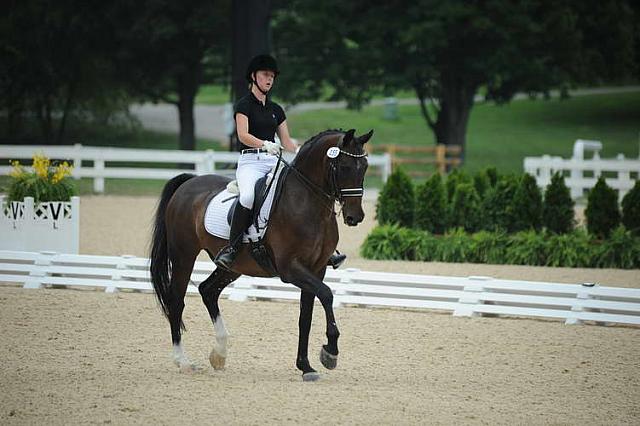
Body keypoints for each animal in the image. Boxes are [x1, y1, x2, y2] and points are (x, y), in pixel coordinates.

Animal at [150, 128, 372, 382]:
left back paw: (219, 354)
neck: (307, 202)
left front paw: (306, 366)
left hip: (233, 266)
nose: (355, 217)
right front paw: (330, 353)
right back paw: (183, 361)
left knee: (208, 290)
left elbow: (305, 317)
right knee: (177, 300)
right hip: (183, 256)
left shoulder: (316, 269)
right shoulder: (290, 269)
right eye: (344, 167)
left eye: (364, 167)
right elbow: (326, 295)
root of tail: (189, 182)